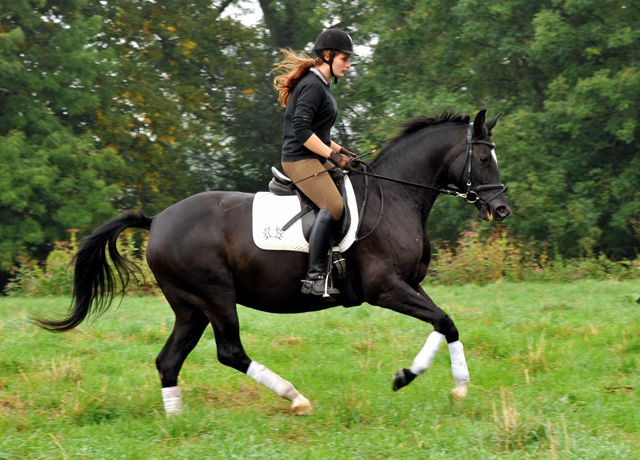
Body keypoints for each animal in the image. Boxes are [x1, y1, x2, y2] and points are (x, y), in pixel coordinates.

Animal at [38, 109, 510, 416]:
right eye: (484, 158)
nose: (501, 209)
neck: (394, 196)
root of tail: (158, 221)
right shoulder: (385, 288)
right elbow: (443, 320)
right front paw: (420, 379)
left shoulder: (410, 284)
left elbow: (445, 323)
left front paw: (447, 385)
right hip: (215, 298)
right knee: (229, 352)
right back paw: (295, 398)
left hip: (190, 307)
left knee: (168, 361)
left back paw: (176, 422)